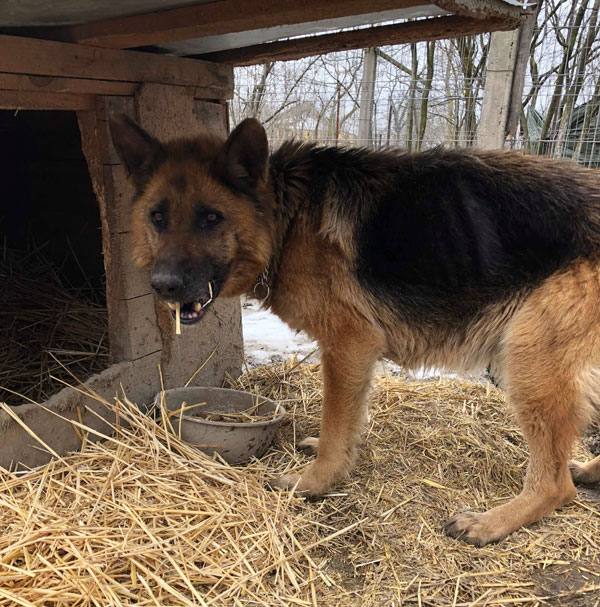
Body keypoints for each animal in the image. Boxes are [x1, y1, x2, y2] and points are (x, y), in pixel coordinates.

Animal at [110, 116, 600, 548]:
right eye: (157, 217)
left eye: (211, 218)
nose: (164, 286)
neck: (287, 215)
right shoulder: (356, 354)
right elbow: (345, 424)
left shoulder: (348, 345)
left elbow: (335, 421)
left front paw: (313, 483)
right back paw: (589, 470)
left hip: (529, 361)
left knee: (555, 485)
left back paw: (492, 522)